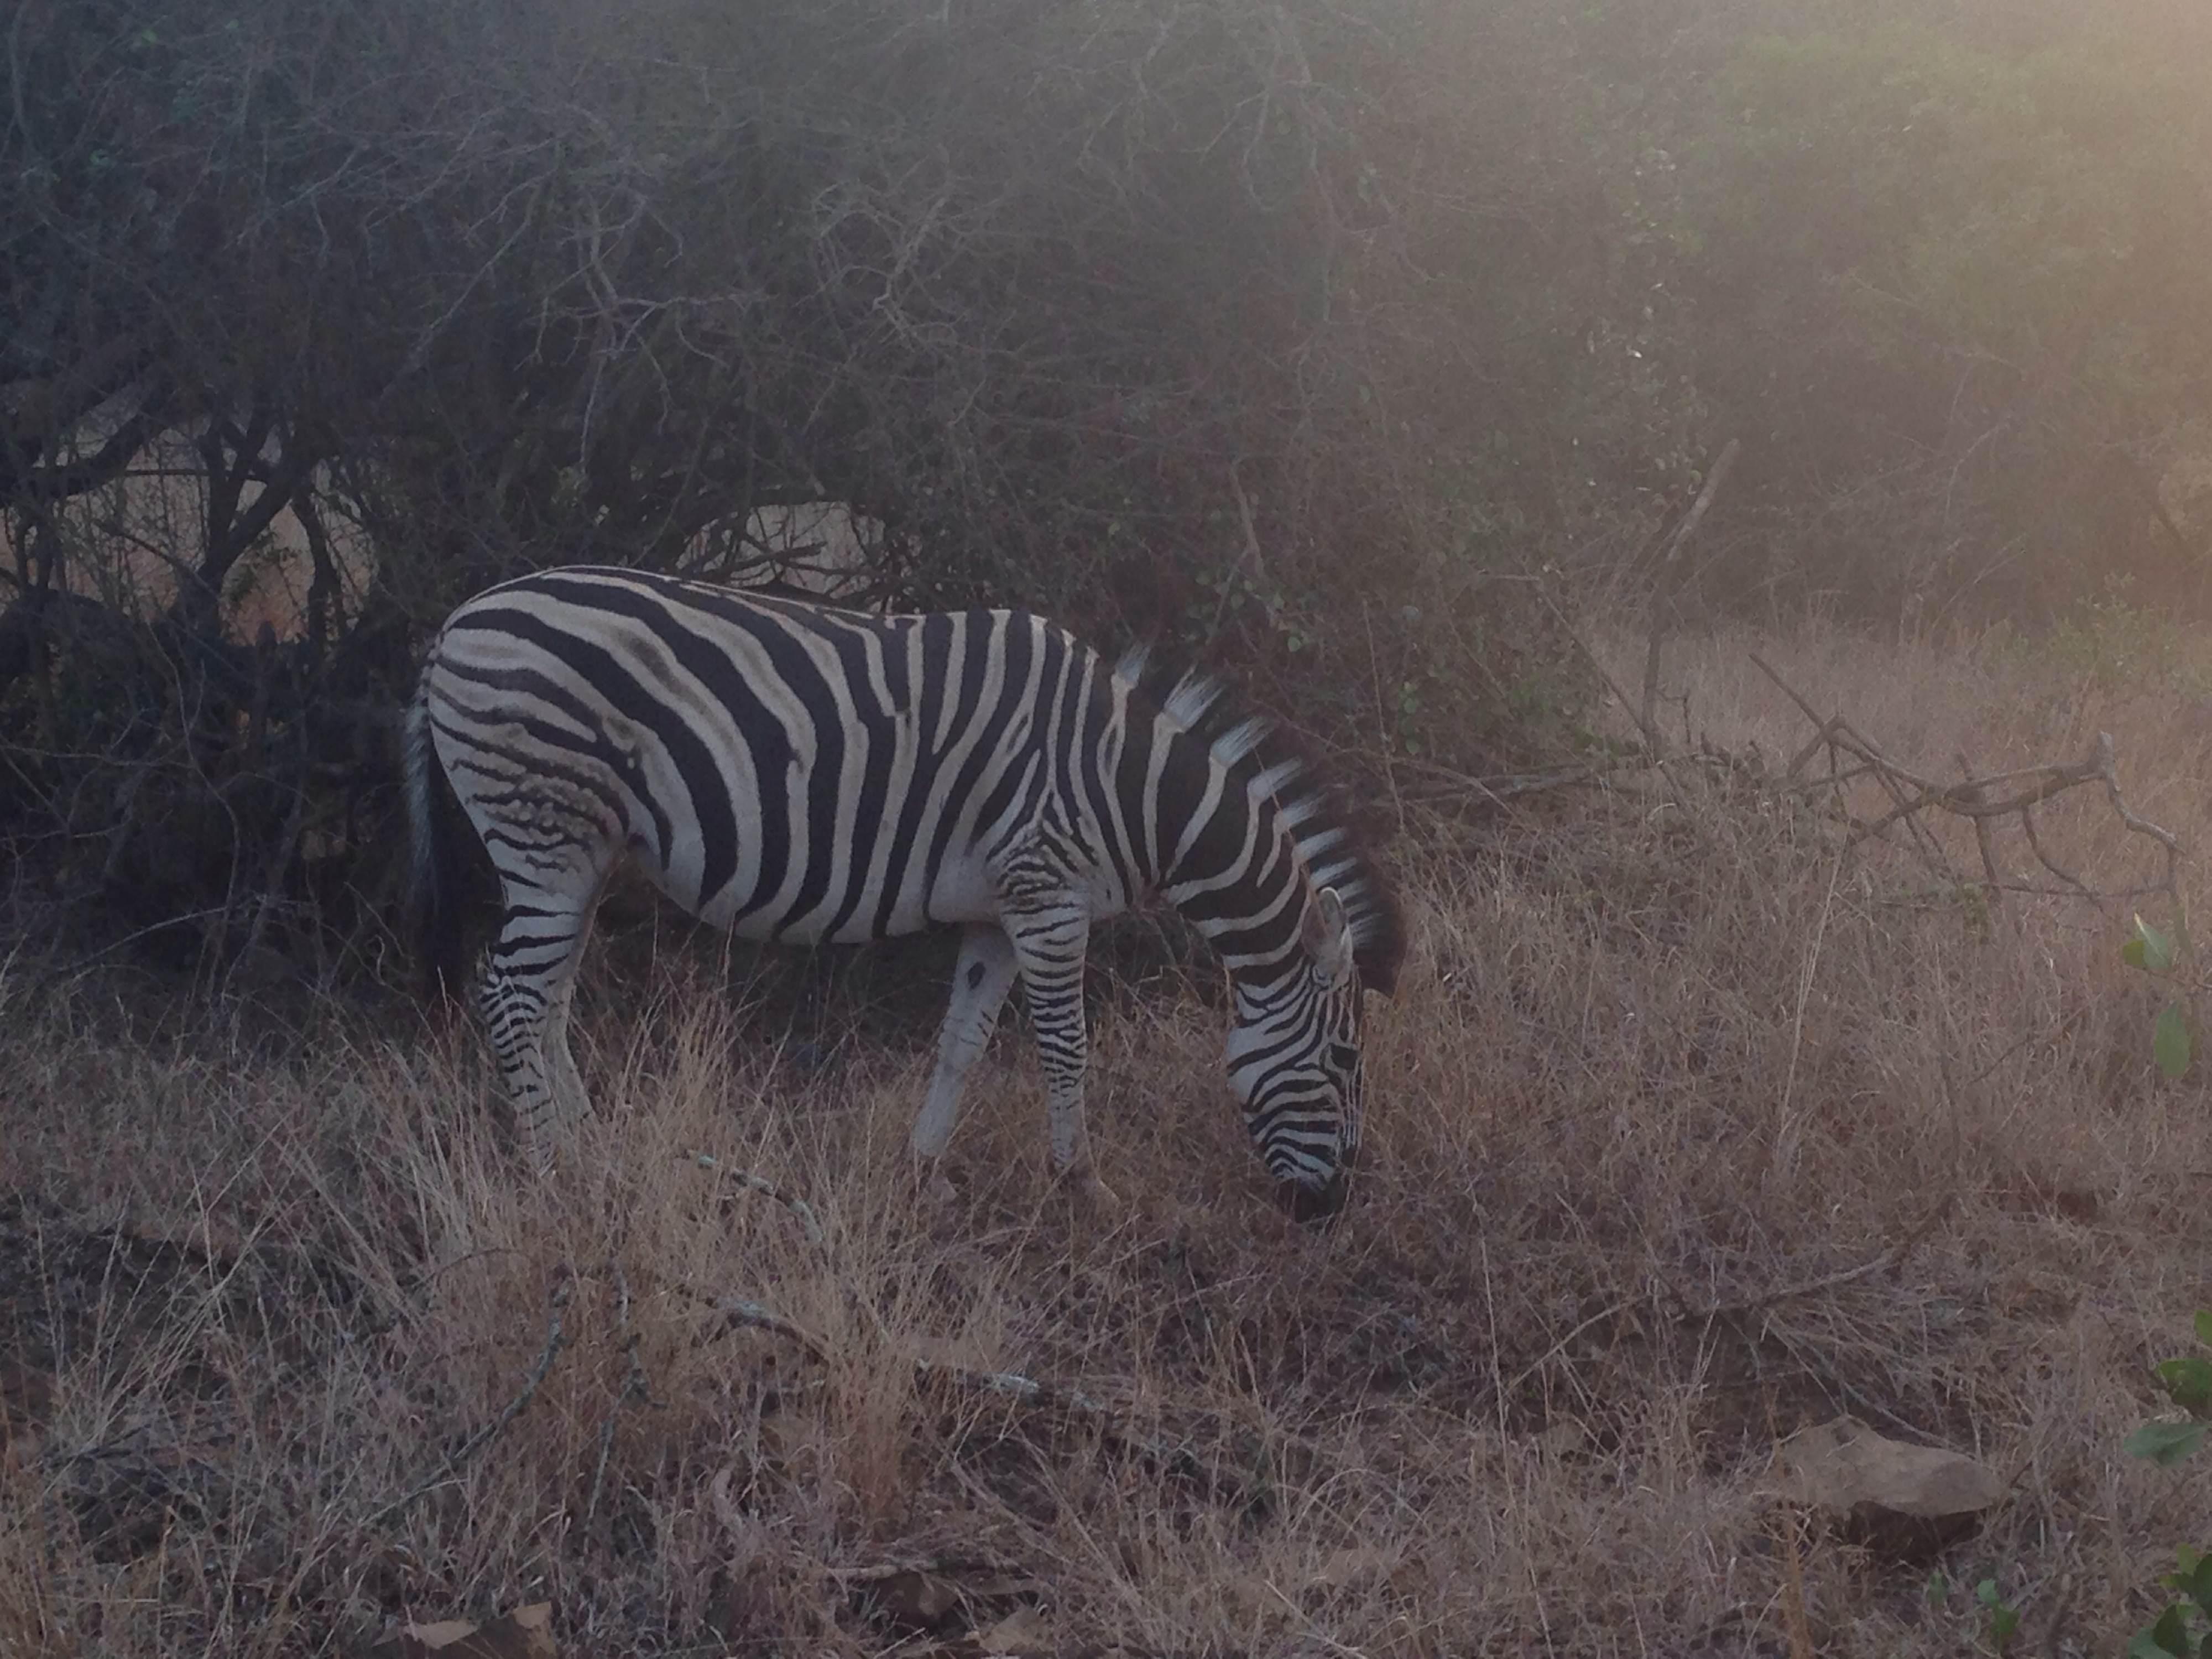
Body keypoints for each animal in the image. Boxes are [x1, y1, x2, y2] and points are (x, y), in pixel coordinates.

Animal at [403, 571, 1398, 1221]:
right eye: (1347, 1060)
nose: (1330, 1212)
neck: (1132, 790)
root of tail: (455, 626)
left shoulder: (998, 912)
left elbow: (962, 1044)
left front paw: (924, 1170)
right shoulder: (1048, 899)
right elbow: (1067, 1050)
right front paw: (1085, 1186)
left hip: (580, 855)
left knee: (550, 1000)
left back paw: (589, 1153)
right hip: (545, 837)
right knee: (513, 997)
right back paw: (551, 1180)